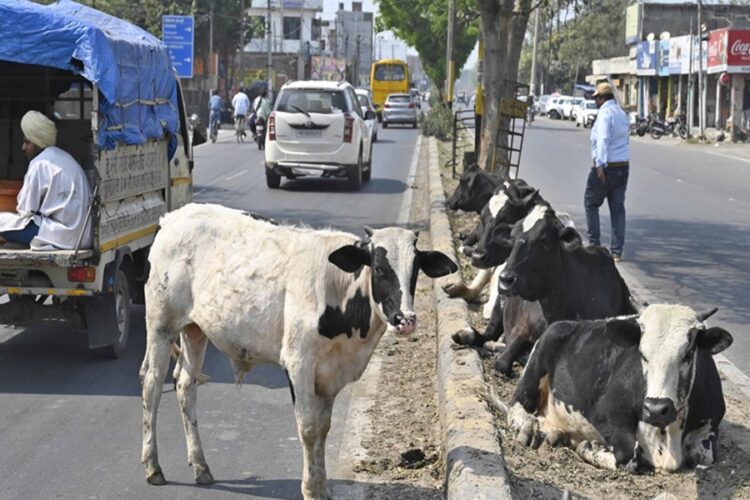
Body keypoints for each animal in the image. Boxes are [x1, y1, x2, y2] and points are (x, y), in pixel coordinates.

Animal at [141, 201, 458, 498]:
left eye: (415, 271)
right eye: (379, 269)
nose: (406, 320)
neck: (338, 291)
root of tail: (173, 217)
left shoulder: (332, 375)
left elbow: (323, 428)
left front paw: (322, 487)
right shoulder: (298, 363)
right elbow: (307, 428)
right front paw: (309, 489)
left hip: (194, 330)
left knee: (185, 384)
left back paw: (201, 466)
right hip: (161, 325)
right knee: (151, 384)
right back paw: (153, 467)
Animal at [512, 304, 736, 472]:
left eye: (687, 354)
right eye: (642, 354)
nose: (656, 409)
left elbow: (704, 456)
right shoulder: (607, 412)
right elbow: (628, 455)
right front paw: (590, 448)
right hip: (537, 363)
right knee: (518, 403)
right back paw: (527, 427)